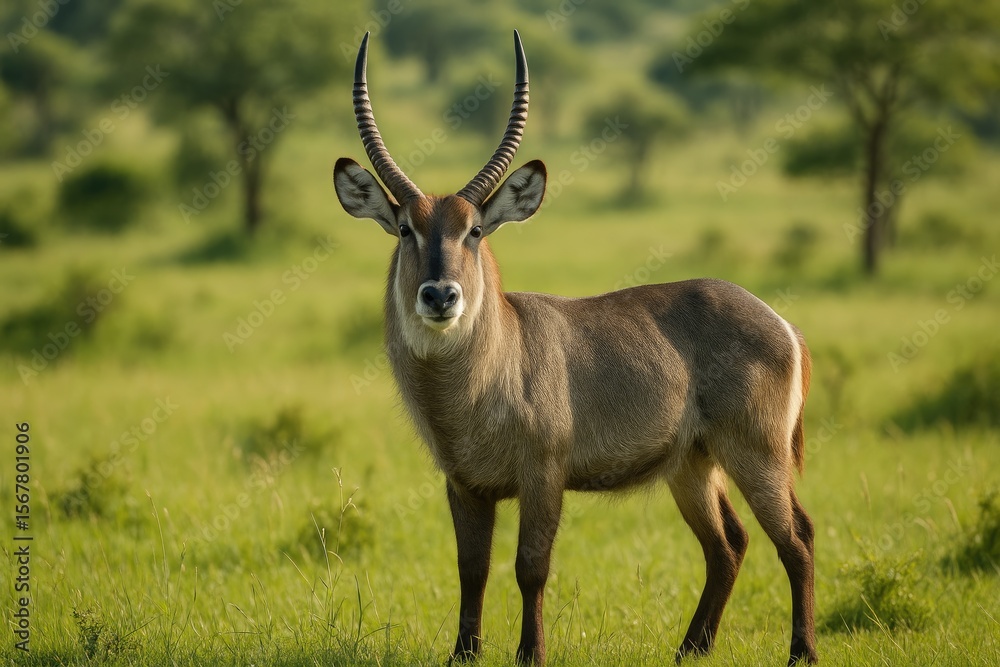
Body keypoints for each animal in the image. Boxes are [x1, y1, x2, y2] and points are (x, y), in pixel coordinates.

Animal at [333, 31, 818, 666]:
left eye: (474, 230)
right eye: (407, 229)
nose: (440, 295)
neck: (482, 377)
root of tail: (782, 324)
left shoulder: (544, 474)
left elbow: (530, 567)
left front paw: (529, 655)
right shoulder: (464, 483)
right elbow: (471, 570)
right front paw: (463, 654)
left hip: (757, 453)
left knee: (796, 538)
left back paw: (800, 652)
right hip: (692, 463)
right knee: (728, 543)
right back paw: (691, 649)